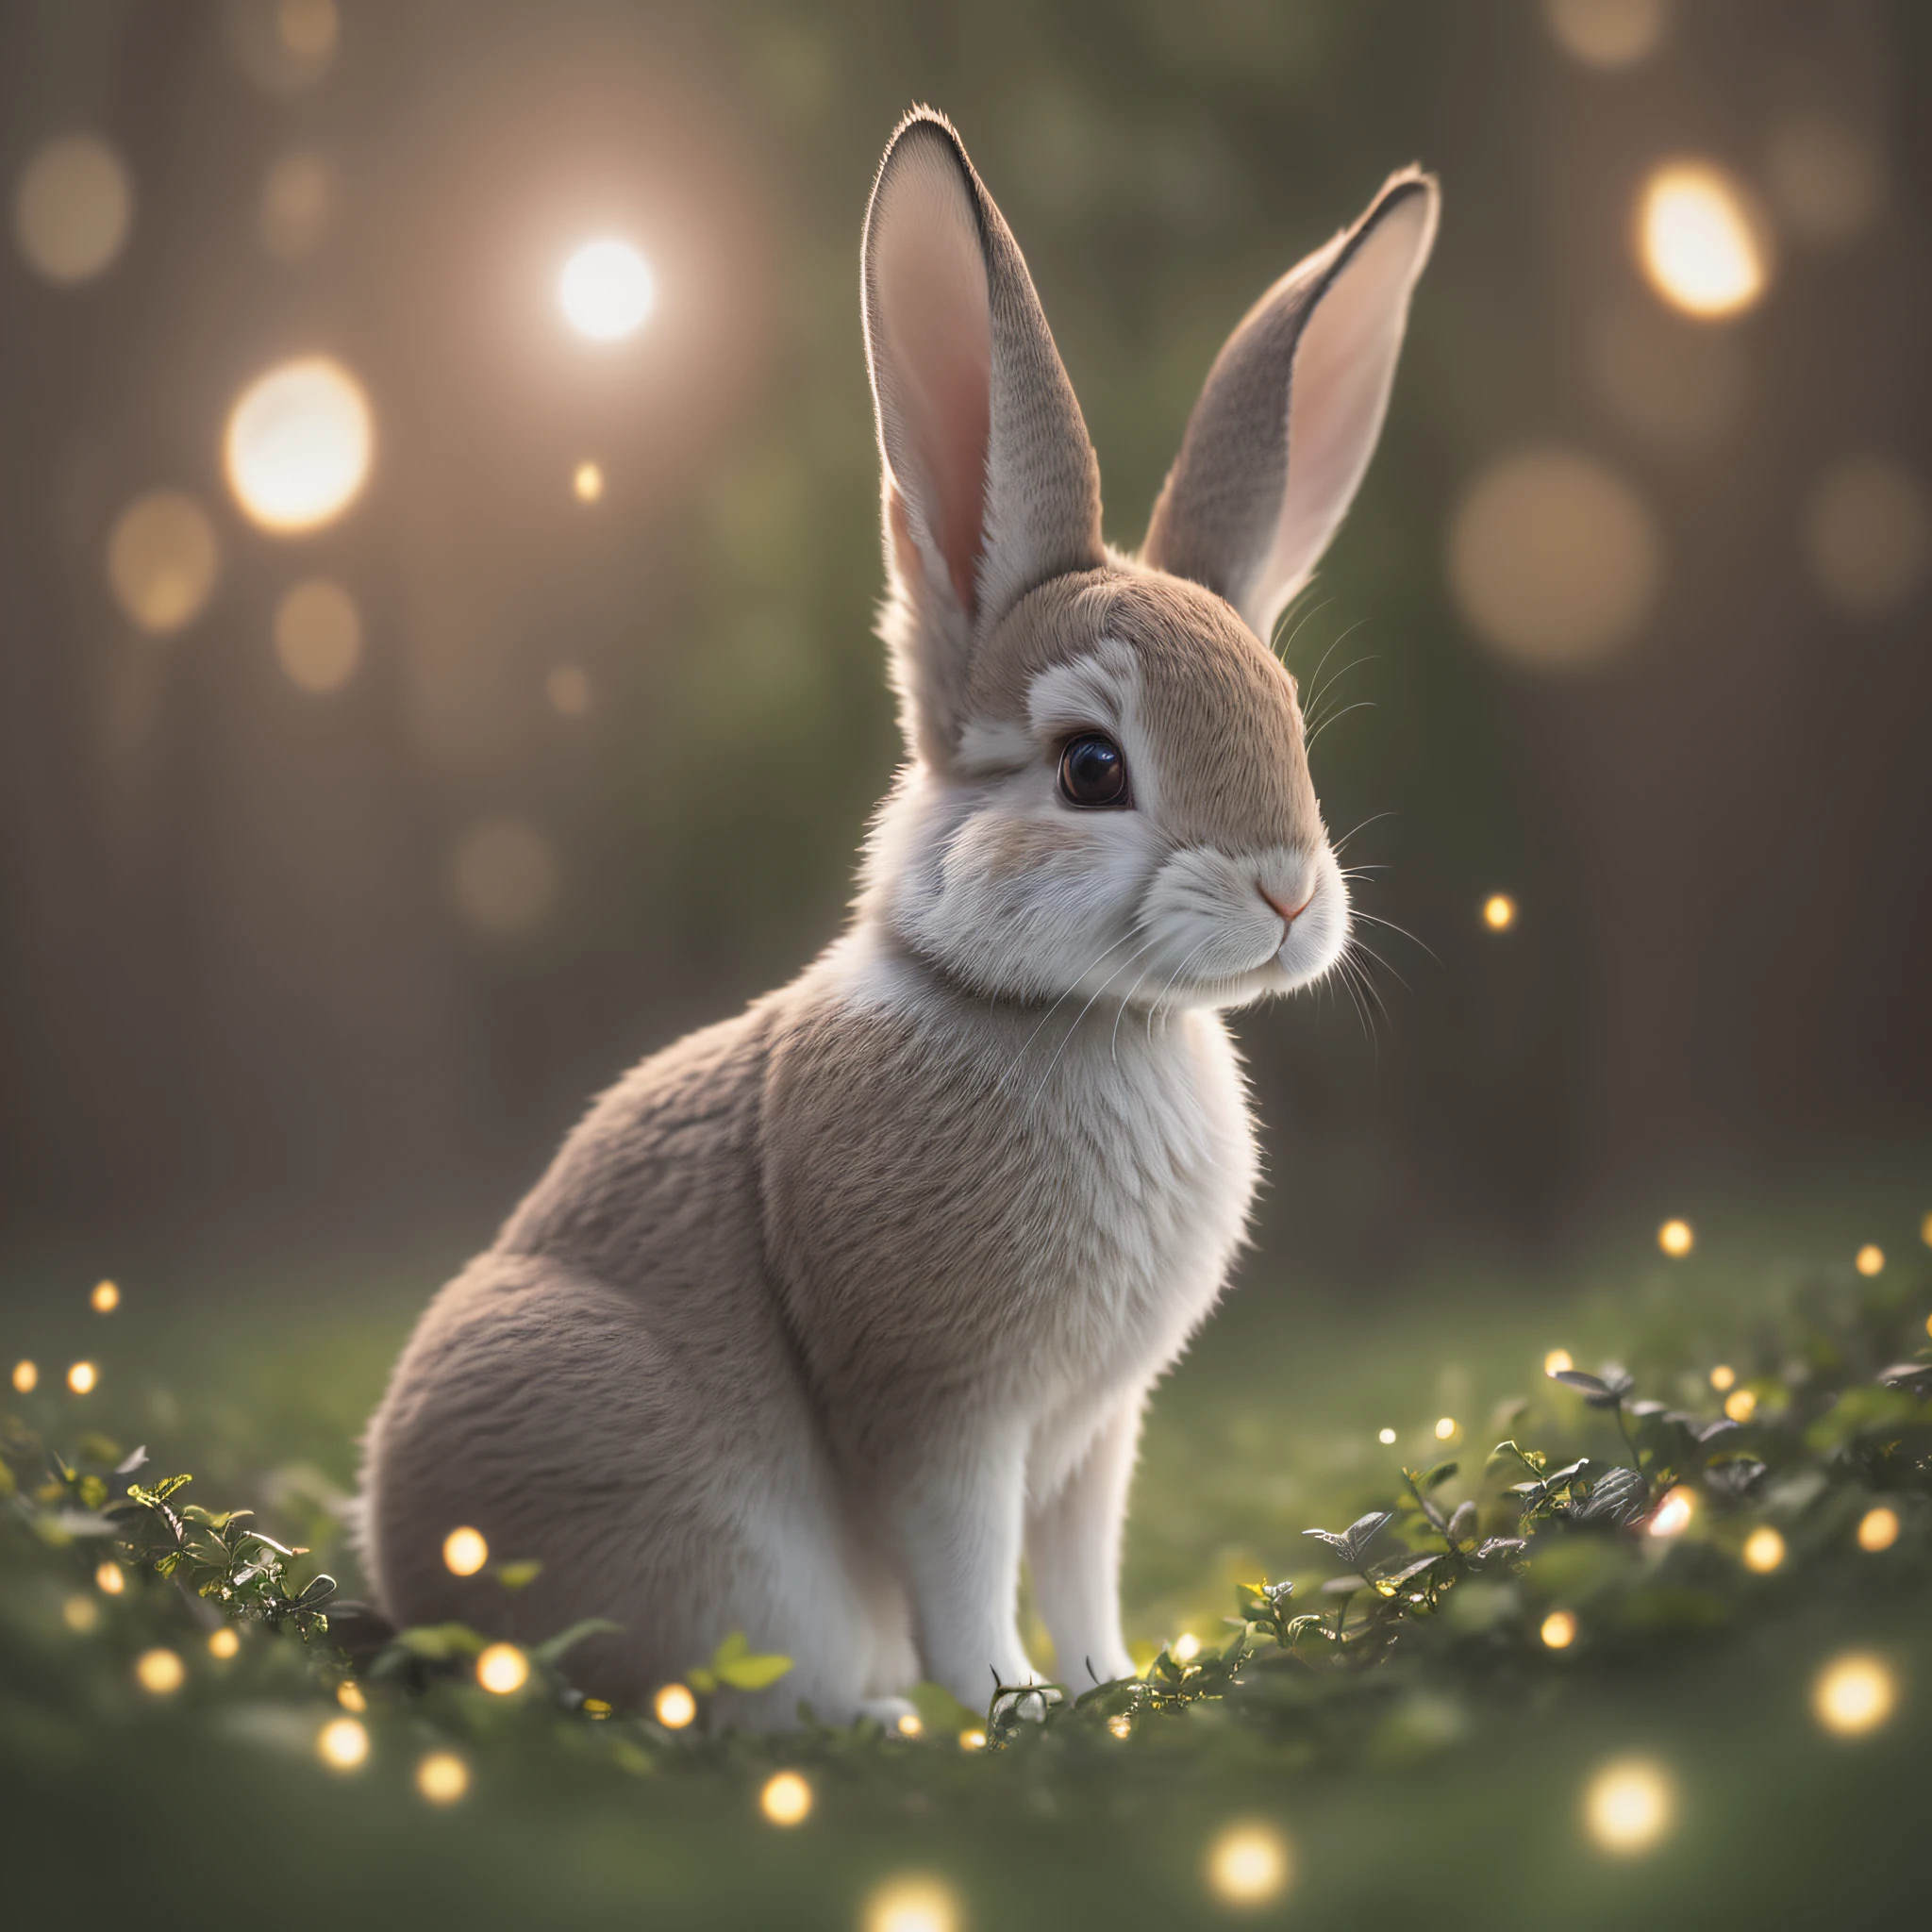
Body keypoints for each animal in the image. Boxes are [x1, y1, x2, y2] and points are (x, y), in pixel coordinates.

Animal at [358, 109, 1437, 1739]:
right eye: (1091, 767)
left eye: (1289, 722)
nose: (1288, 891)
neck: (1077, 1021)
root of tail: (409, 1576)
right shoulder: (944, 1410)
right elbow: (967, 1577)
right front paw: (1018, 1711)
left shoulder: (1095, 1430)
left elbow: (1080, 1573)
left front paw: (1117, 1685)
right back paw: (861, 1719)